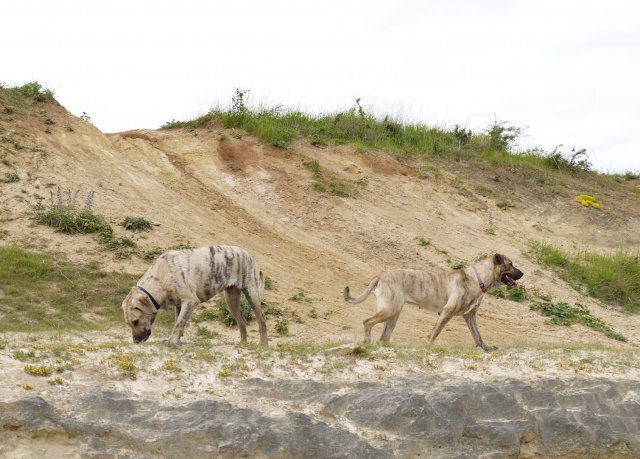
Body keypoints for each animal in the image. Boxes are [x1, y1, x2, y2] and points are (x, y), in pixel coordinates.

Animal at [122, 246, 268, 346]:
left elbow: (180, 322)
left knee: (261, 320)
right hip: (231, 300)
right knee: (242, 321)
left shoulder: (190, 301)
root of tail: (249, 254)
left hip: (252, 294)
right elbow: (177, 322)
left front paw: (172, 342)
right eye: (129, 323)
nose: (136, 341)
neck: (161, 277)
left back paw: (263, 344)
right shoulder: (179, 305)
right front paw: (177, 340)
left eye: (136, 321)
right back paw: (243, 344)